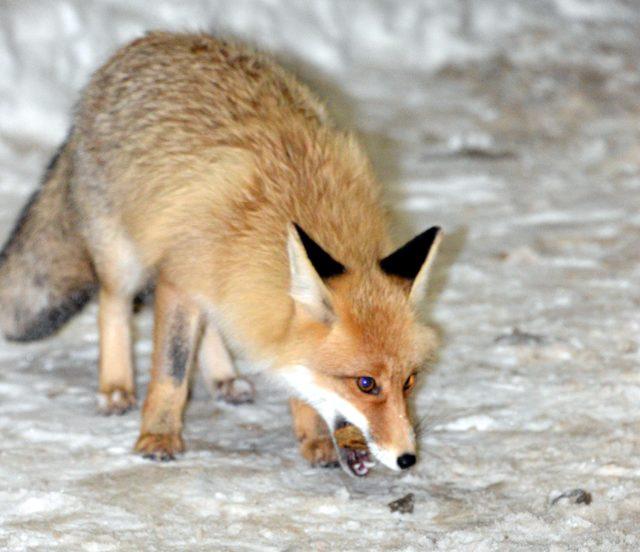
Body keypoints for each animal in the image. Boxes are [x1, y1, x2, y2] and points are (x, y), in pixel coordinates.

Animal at [0, 32, 440, 476]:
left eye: (409, 380)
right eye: (365, 383)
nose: (407, 459)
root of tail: (148, 40)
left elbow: (296, 377)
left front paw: (315, 439)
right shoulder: (178, 280)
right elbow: (172, 372)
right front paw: (158, 436)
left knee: (209, 320)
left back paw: (224, 378)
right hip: (124, 257)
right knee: (113, 307)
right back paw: (116, 387)